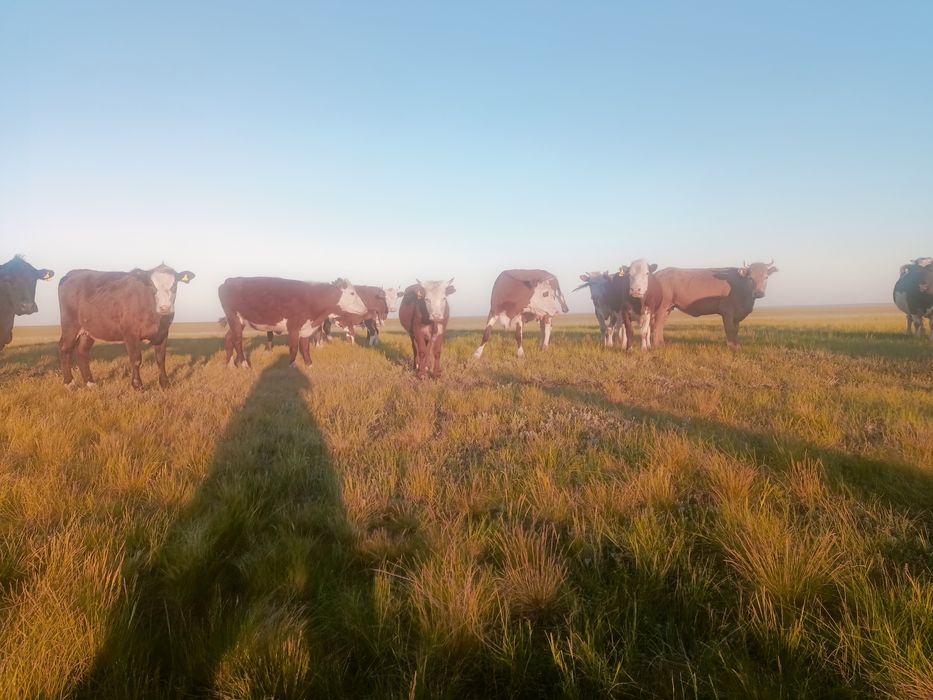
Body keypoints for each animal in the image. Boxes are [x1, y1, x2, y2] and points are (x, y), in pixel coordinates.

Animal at [58, 264, 194, 389]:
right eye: (151, 285)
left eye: (174, 284)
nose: (165, 307)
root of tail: (73, 273)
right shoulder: (130, 333)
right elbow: (136, 359)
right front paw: (137, 385)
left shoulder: (163, 333)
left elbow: (161, 359)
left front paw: (165, 383)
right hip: (70, 325)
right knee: (65, 349)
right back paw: (69, 383)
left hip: (89, 329)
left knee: (82, 351)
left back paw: (91, 383)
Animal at [218, 277, 367, 369]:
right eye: (352, 293)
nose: (365, 309)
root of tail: (230, 280)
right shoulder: (293, 327)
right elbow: (294, 347)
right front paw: (292, 365)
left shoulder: (306, 327)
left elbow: (305, 347)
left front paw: (309, 364)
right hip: (234, 318)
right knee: (237, 341)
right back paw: (244, 364)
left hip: (238, 321)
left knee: (229, 338)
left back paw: (230, 364)